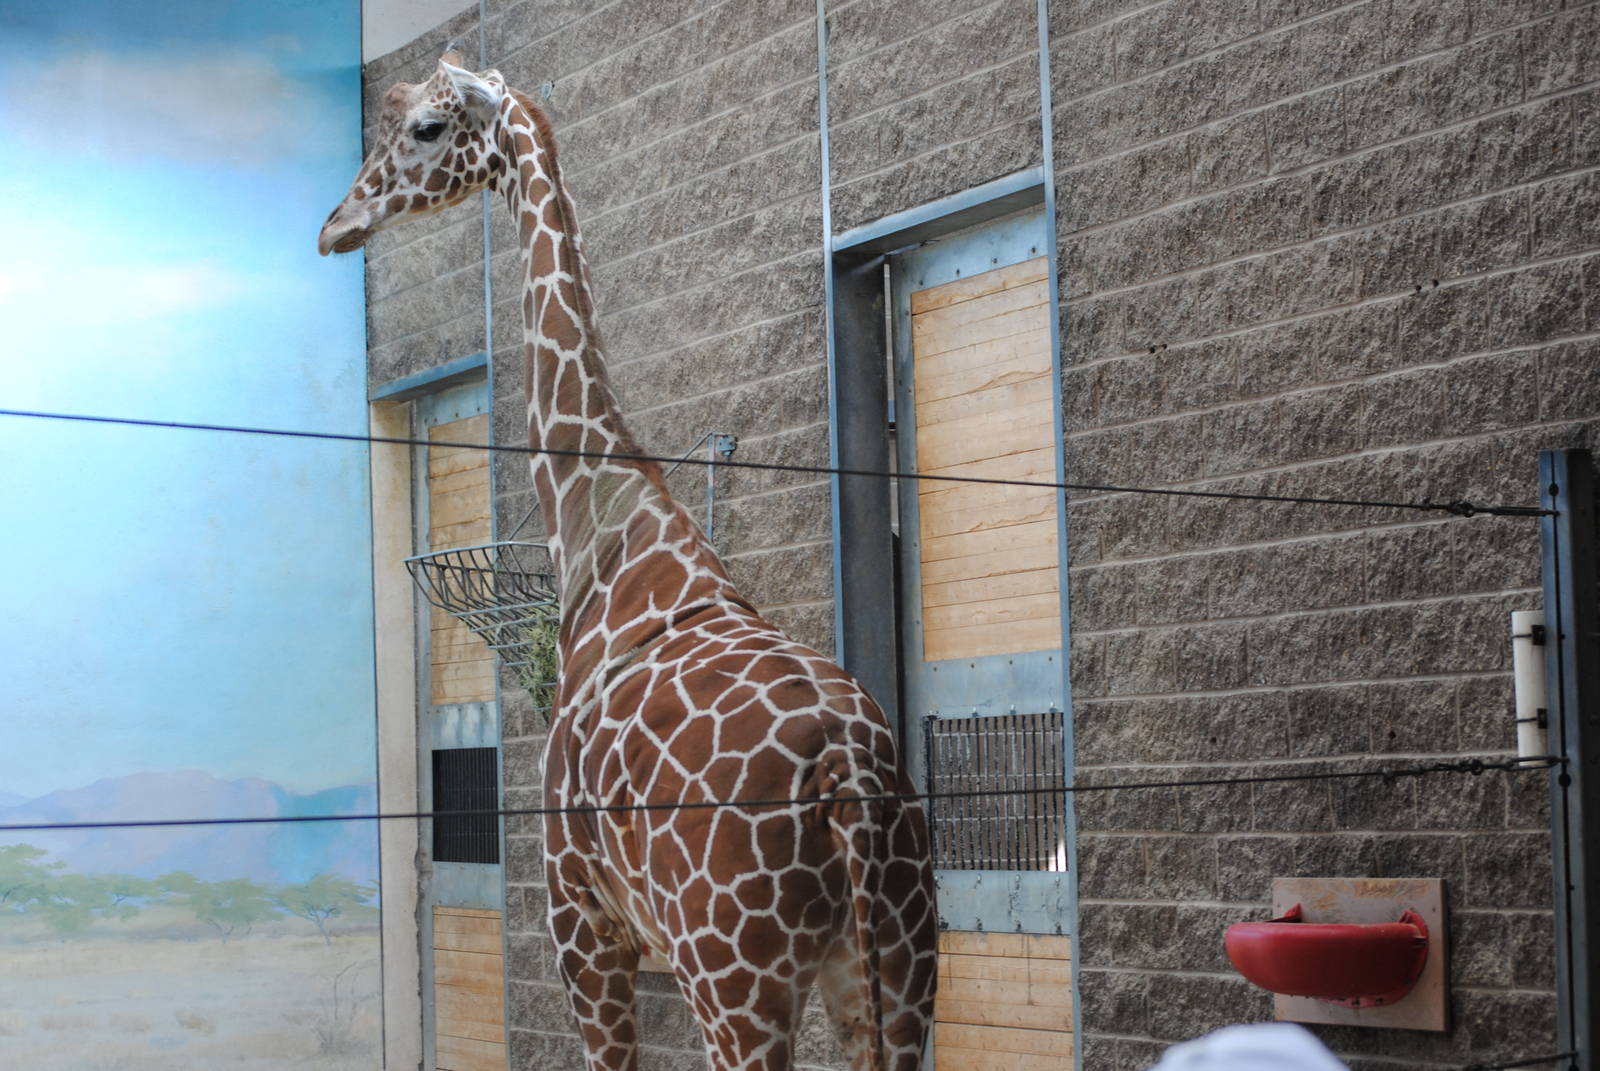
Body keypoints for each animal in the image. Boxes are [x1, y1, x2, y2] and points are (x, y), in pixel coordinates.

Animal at [319, 55, 938, 1071]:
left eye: (422, 128)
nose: (337, 225)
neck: (602, 530)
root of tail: (848, 777)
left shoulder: (581, 917)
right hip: (896, 964)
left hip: (735, 976)